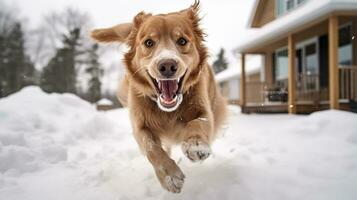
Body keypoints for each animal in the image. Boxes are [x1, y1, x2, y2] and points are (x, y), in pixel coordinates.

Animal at [90, 0, 227, 193]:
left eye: (182, 41)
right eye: (149, 42)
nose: (167, 65)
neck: (168, 109)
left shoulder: (205, 111)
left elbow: (197, 123)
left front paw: (195, 146)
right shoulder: (139, 126)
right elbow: (152, 148)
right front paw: (170, 176)